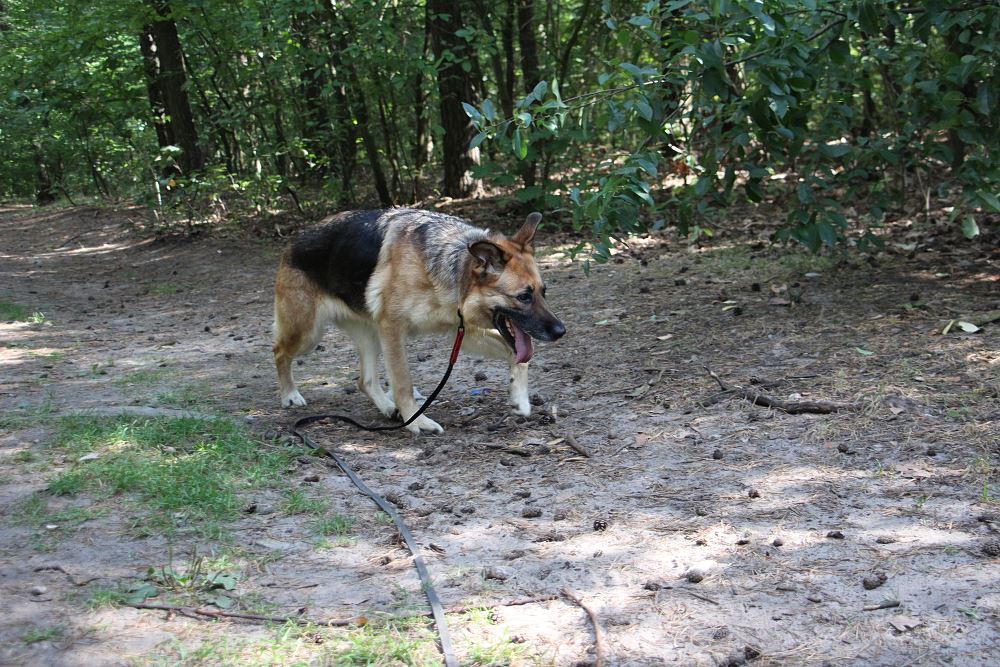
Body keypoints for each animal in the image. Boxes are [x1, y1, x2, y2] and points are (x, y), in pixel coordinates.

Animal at [272, 208, 565, 434]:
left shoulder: (462, 331)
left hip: (369, 335)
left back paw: (388, 408)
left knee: (365, 381)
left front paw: (520, 399)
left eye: (544, 292)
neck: (451, 266)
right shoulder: (393, 328)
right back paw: (289, 395)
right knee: (279, 352)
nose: (561, 331)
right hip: (308, 333)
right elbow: (403, 382)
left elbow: (518, 356)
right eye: (524, 296)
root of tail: (293, 241)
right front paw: (416, 421)